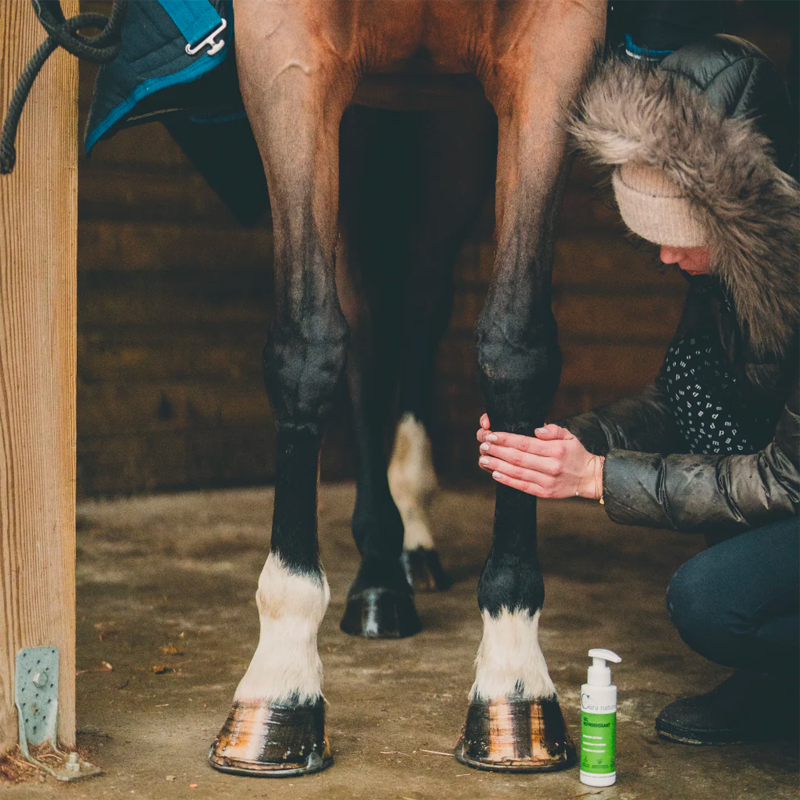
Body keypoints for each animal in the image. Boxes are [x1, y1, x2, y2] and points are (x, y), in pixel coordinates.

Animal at [206, 0, 608, 776]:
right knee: (365, 322)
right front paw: (281, 682)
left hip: (447, 126)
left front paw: (514, 680)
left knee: (420, 302)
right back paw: (379, 576)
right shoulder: (284, 45)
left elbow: (515, 344)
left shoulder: (556, 44)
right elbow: (307, 344)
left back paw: (408, 541)